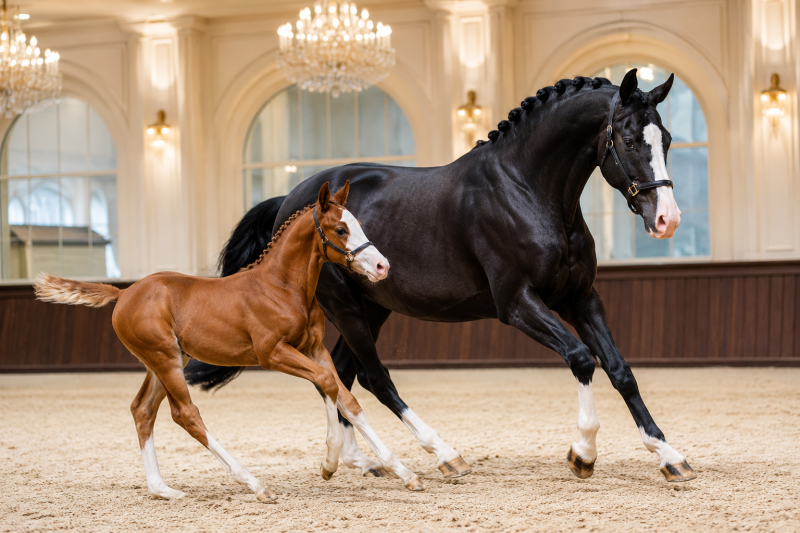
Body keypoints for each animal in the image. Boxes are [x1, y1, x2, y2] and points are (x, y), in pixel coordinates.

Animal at [33, 182, 426, 503]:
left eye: (359, 224)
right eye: (341, 229)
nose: (382, 266)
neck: (282, 287)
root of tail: (124, 292)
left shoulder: (314, 349)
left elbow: (345, 398)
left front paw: (395, 472)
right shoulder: (273, 354)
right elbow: (328, 384)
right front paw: (337, 462)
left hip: (165, 361)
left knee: (143, 410)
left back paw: (162, 489)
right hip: (164, 359)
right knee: (186, 414)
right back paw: (254, 483)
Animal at [186, 69, 696, 483]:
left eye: (668, 139)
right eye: (628, 140)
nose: (667, 219)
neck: (525, 189)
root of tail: (292, 202)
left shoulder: (581, 297)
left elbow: (620, 370)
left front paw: (670, 457)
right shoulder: (517, 303)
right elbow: (581, 358)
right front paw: (583, 454)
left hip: (372, 307)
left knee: (343, 375)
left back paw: (356, 461)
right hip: (346, 306)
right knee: (373, 377)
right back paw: (444, 454)